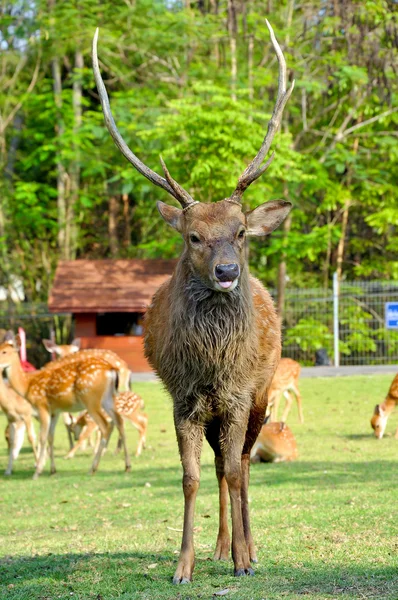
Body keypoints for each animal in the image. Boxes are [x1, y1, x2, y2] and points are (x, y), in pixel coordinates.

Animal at [0, 332, 130, 478]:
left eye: (4, 351)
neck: (27, 385)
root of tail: (112, 369)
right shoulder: (54, 411)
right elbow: (50, 437)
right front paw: (52, 470)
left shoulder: (41, 406)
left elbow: (42, 437)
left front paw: (37, 471)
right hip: (108, 398)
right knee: (119, 421)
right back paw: (127, 466)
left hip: (91, 399)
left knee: (105, 426)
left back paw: (93, 468)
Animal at [92, 18, 292, 580]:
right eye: (193, 236)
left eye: (241, 231)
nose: (226, 272)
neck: (212, 362)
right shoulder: (184, 398)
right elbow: (191, 478)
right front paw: (185, 565)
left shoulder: (240, 393)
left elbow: (235, 470)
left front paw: (245, 561)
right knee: (224, 468)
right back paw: (222, 547)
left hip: (263, 392)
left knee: (241, 464)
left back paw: (248, 548)